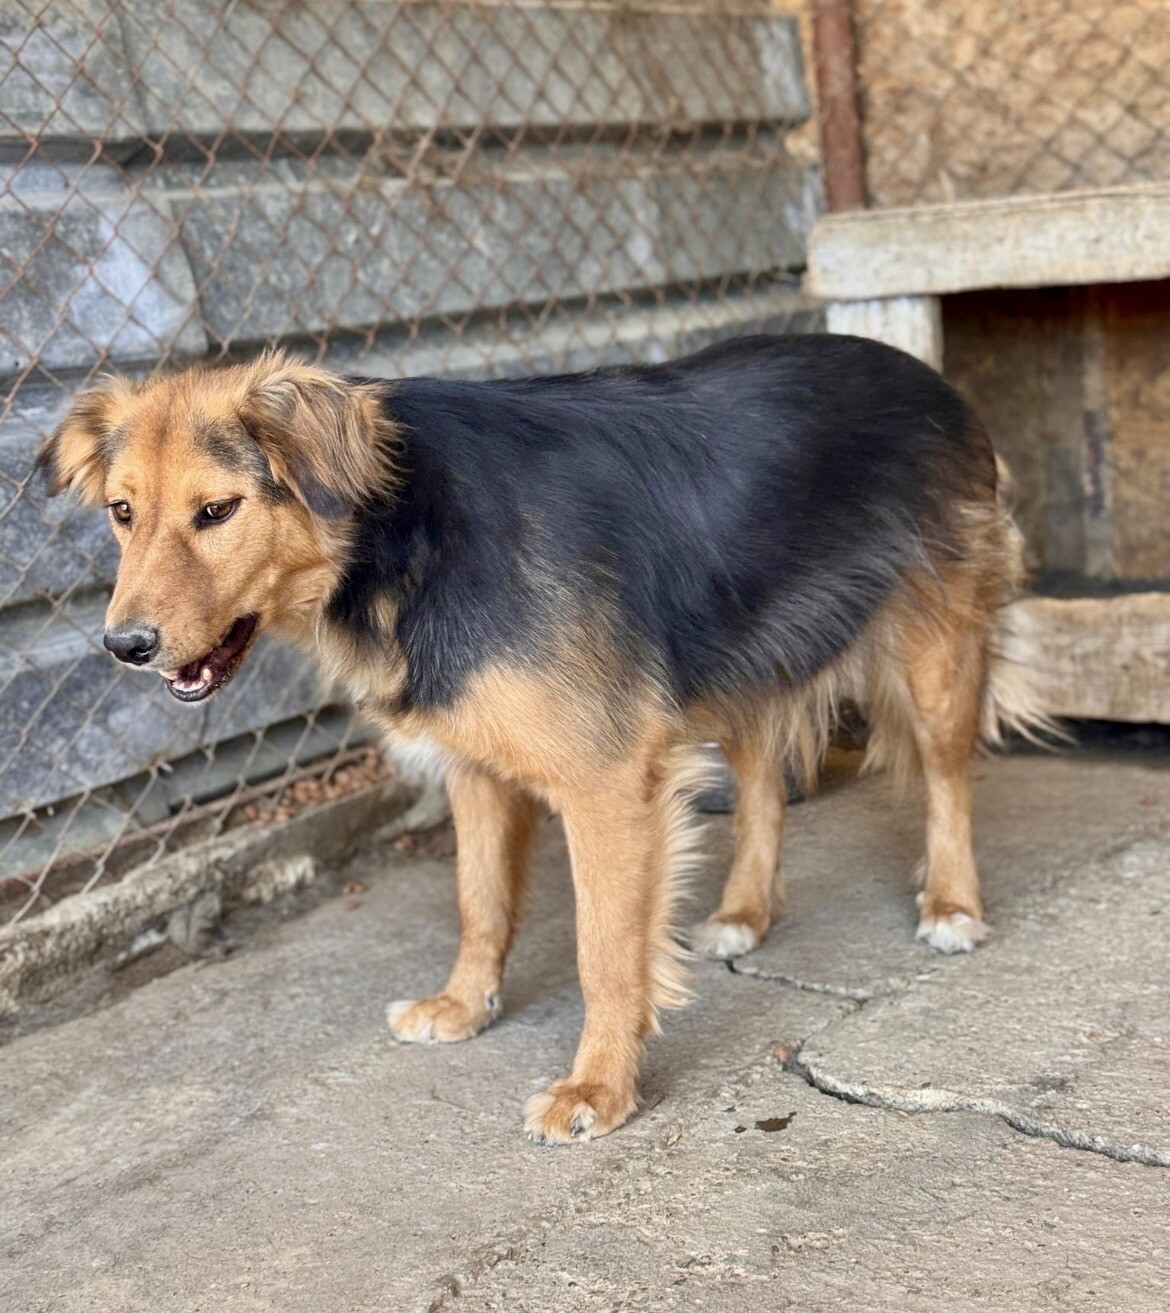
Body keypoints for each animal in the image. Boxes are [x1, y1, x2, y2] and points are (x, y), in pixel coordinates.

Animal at [38, 335, 1047, 1142]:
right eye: (122, 513)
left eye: (217, 511)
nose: (124, 647)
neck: (402, 532)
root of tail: (922, 371)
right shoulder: (474, 765)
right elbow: (481, 902)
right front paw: (464, 1003)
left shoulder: (606, 780)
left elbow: (606, 952)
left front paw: (598, 1088)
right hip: (741, 656)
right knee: (762, 784)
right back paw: (744, 911)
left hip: (934, 654)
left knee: (950, 778)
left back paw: (952, 905)